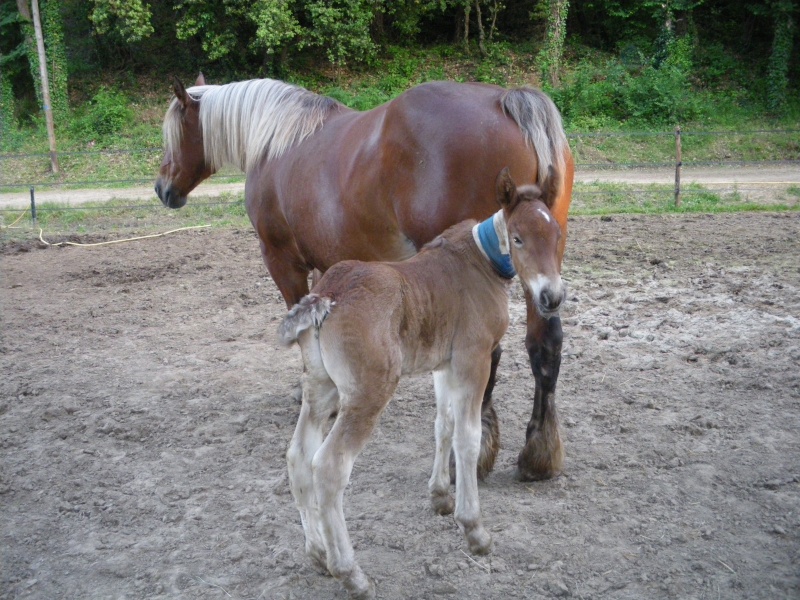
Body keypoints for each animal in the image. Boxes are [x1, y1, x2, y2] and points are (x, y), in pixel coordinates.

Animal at [153, 72, 572, 480]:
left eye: (174, 133)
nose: (162, 188)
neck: (277, 144)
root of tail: (506, 100)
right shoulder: (328, 264)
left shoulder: (283, 262)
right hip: (539, 273)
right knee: (544, 344)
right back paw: (538, 454)